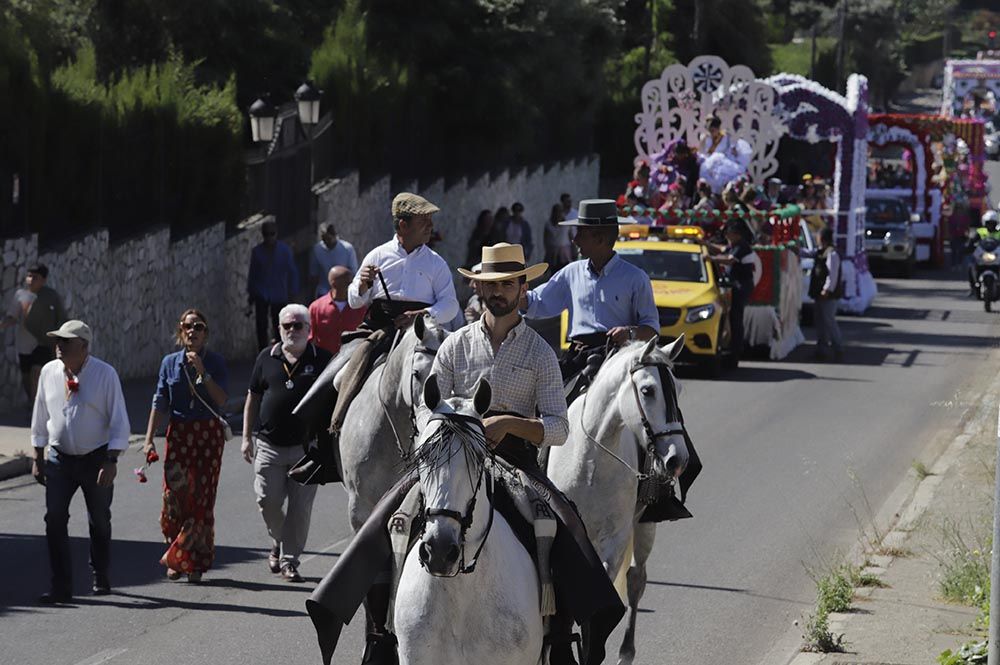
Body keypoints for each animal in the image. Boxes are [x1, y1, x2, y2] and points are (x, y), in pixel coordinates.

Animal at [548, 338, 688, 664]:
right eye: (648, 390)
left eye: (678, 387)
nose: (678, 459)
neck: (589, 458)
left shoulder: (614, 541)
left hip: (646, 525)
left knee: (636, 580)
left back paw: (626, 651)